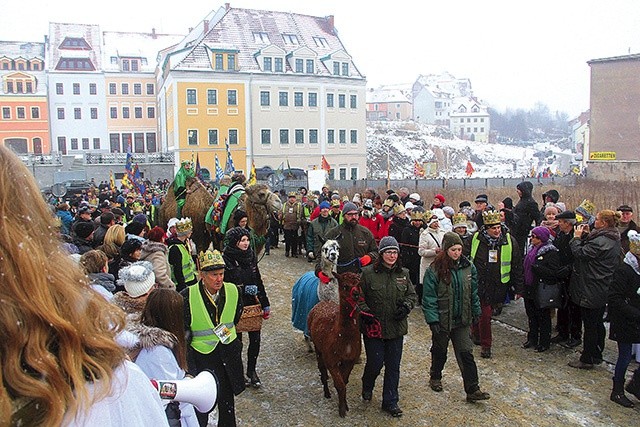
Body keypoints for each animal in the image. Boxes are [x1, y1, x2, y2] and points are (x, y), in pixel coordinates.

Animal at [308, 274, 362, 418]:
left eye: (359, 283)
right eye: (345, 285)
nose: (356, 294)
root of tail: (323, 302)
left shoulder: (350, 359)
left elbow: (344, 381)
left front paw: (345, 405)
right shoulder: (331, 359)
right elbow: (340, 384)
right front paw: (342, 410)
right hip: (318, 348)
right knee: (321, 369)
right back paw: (326, 393)